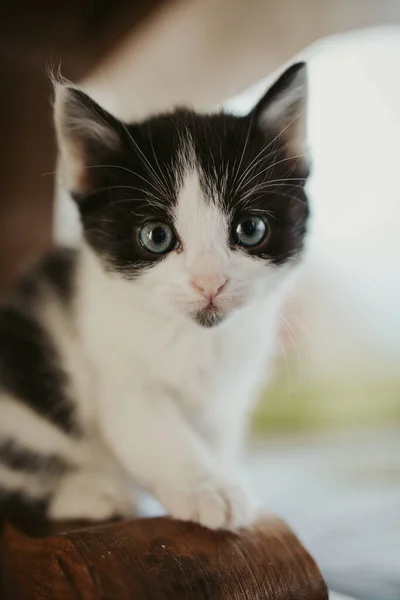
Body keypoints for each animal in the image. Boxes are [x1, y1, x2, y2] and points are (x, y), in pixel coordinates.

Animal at [0, 62, 310, 528]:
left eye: (251, 229)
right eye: (156, 236)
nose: (209, 282)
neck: (196, 342)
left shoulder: (228, 397)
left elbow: (217, 439)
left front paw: (227, 477)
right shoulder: (116, 372)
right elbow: (158, 433)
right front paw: (210, 489)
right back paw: (91, 493)